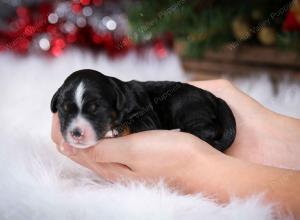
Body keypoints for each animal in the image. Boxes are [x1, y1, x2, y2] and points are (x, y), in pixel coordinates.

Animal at [50, 69, 236, 152]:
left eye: (96, 110)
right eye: (64, 110)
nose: (76, 133)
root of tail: (213, 97)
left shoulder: (147, 117)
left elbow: (132, 124)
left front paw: (113, 131)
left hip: (184, 104)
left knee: (208, 129)